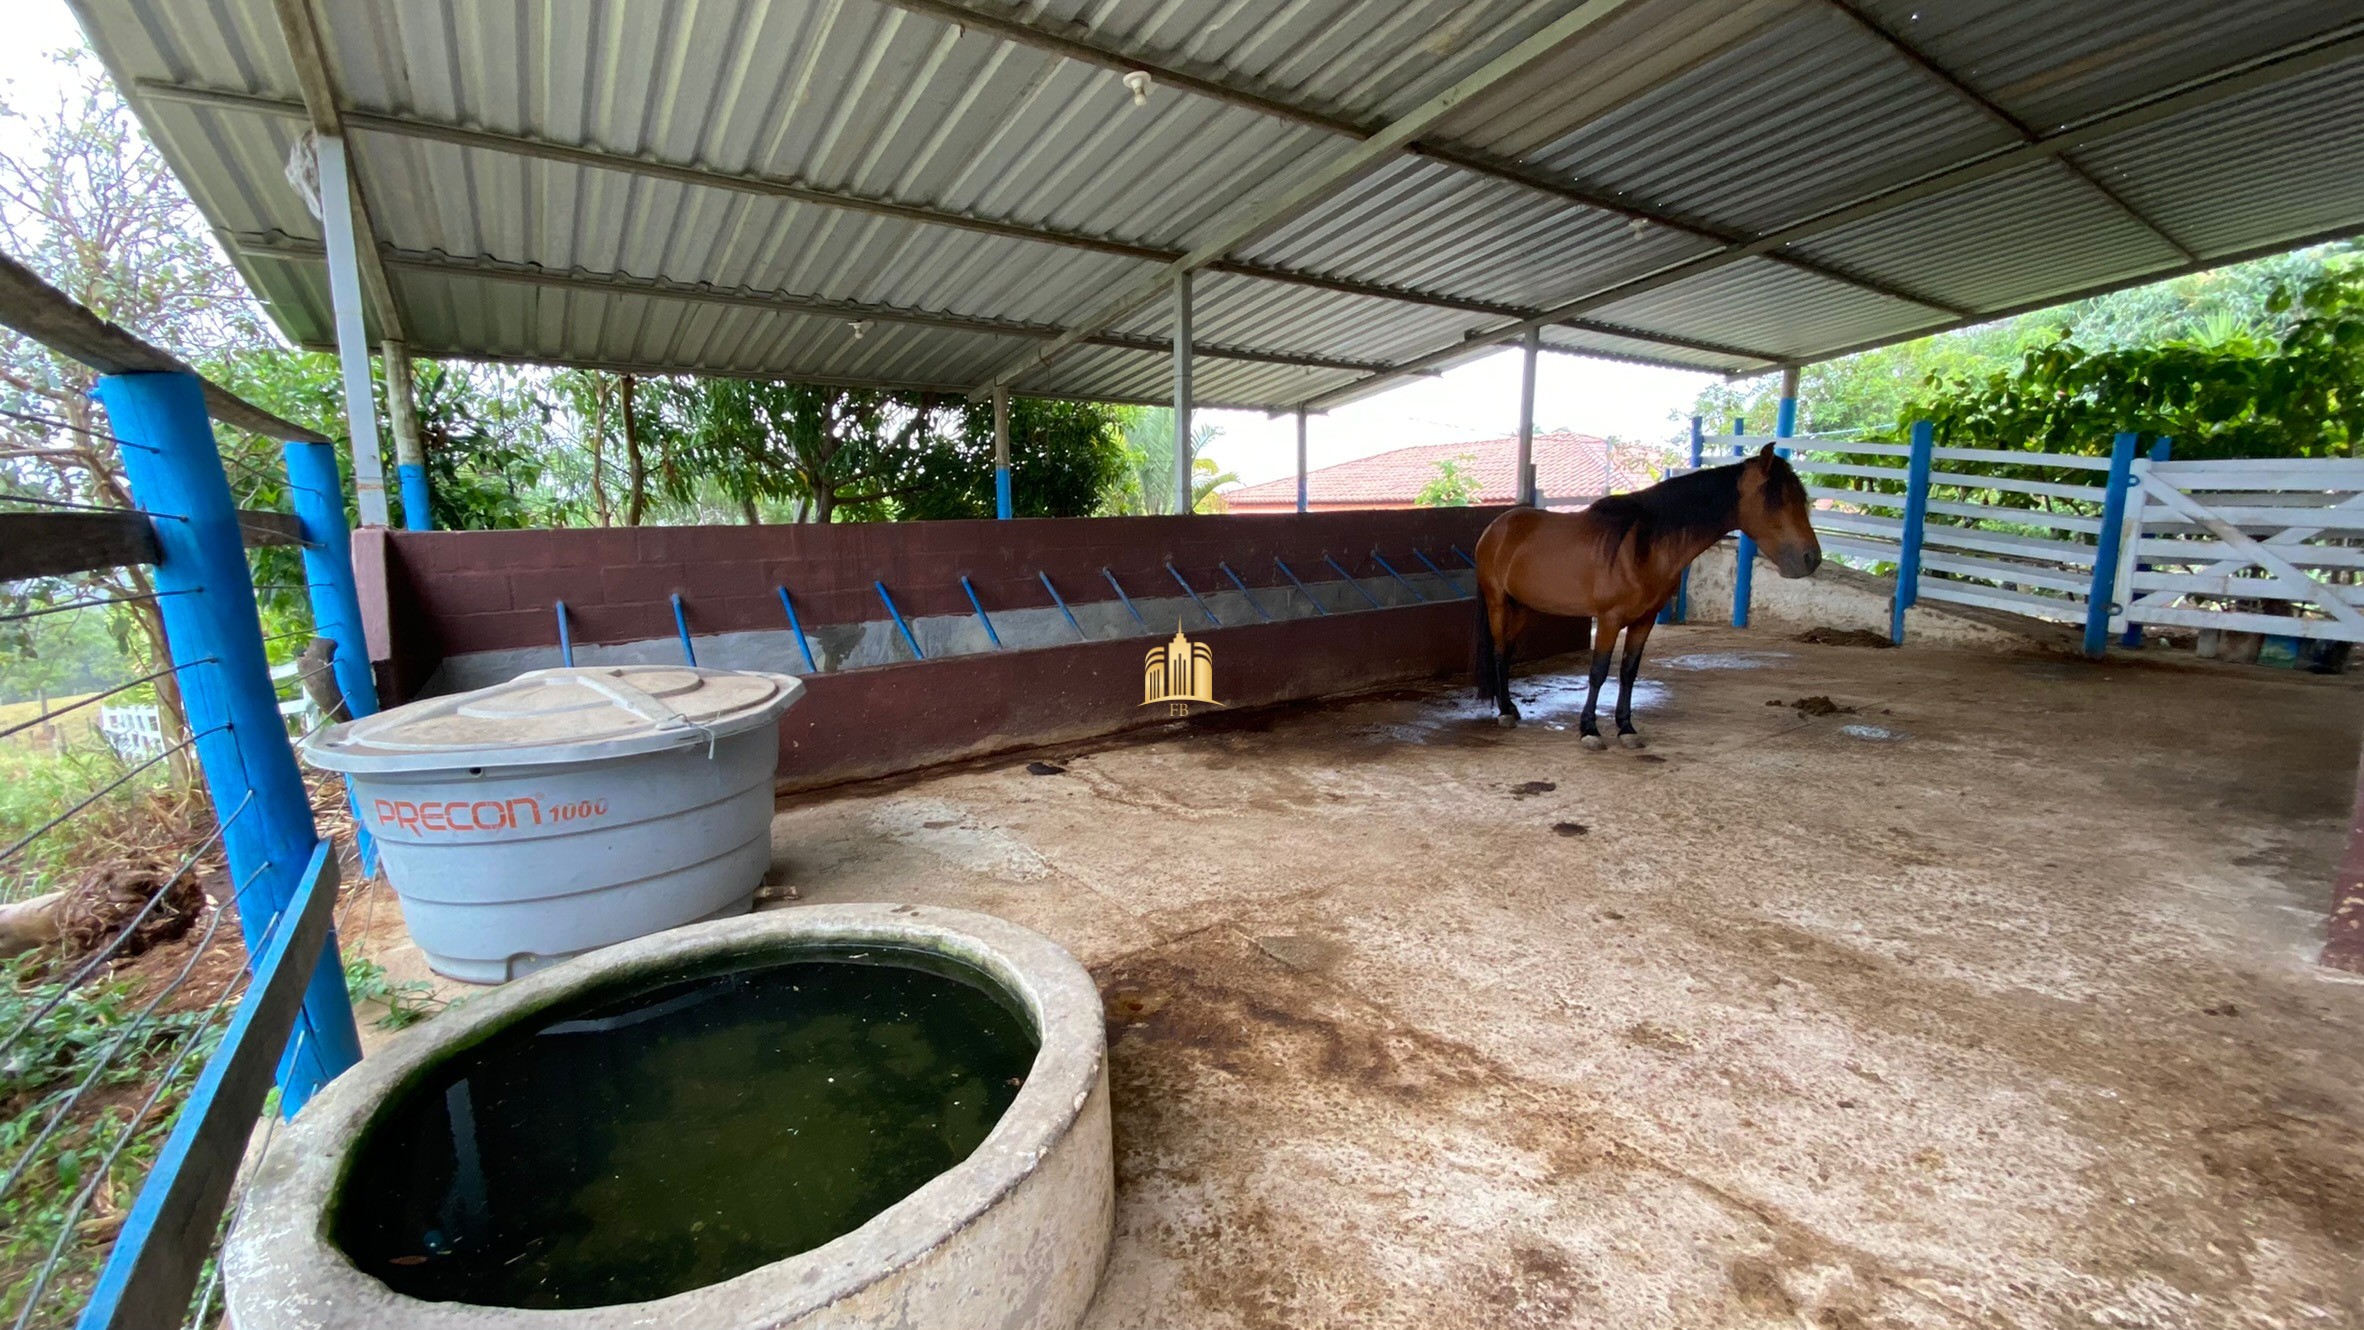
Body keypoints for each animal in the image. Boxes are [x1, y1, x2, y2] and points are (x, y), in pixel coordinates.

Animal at [1475, 451, 1825, 751]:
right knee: (1499, 651)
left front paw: (1626, 728)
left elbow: (1629, 672)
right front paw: (1589, 729)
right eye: (1777, 500)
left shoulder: (1644, 621)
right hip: (1498, 602)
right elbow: (1598, 672)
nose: (1811, 559)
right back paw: (1504, 712)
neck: (1642, 546)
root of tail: (1496, 527)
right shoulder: (1609, 620)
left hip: (1522, 607)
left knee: (1507, 652)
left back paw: (1510, 707)